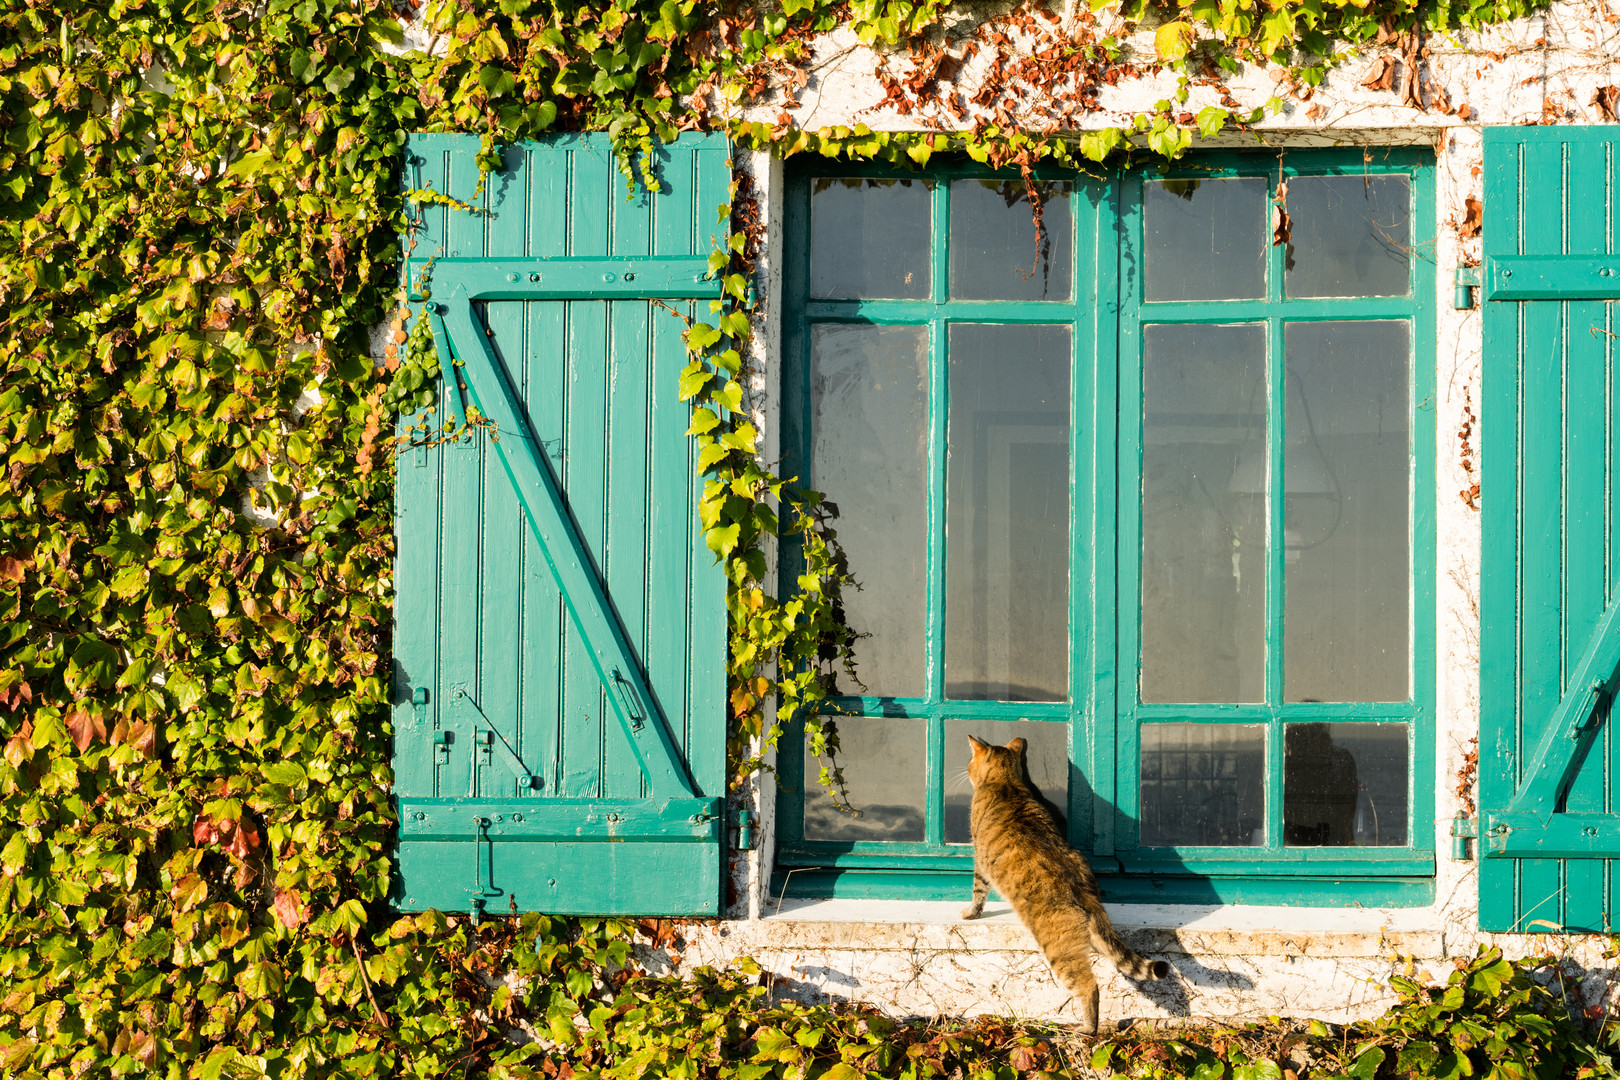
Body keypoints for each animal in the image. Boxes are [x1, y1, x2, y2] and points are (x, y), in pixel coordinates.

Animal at [959, 735, 1166, 1029]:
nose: (965, 770)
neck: (1004, 782)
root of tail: (1085, 894)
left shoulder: (979, 858)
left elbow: (978, 891)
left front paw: (970, 913)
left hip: (1060, 952)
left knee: (1089, 987)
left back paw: (1087, 1028)